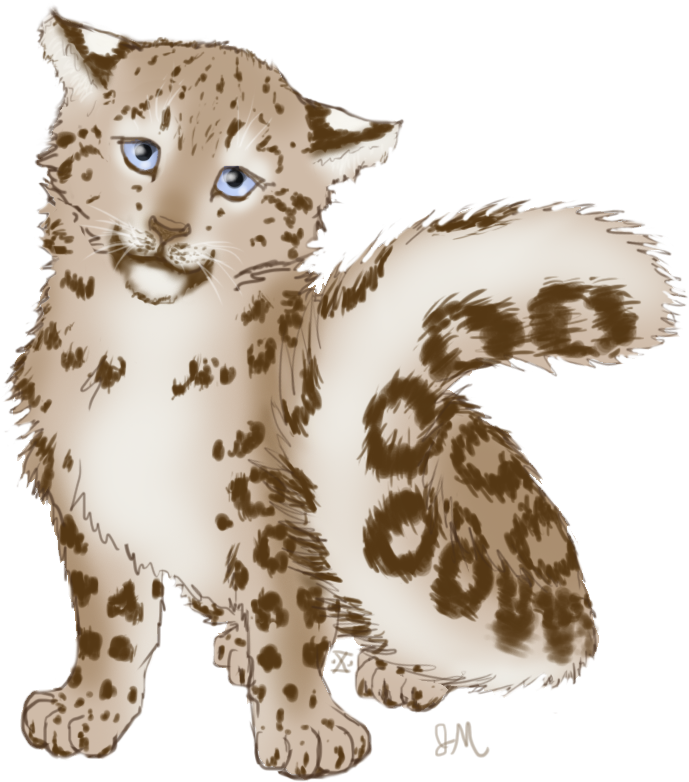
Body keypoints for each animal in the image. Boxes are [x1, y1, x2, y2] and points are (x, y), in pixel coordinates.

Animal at [9, 5, 680, 777]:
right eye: (142, 152)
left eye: (235, 181)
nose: (167, 230)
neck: (145, 348)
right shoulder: (86, 501)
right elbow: (108, 622)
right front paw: (87, 712)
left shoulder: (279, 518)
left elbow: (289, 618)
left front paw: (304, 730)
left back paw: (397, 670)